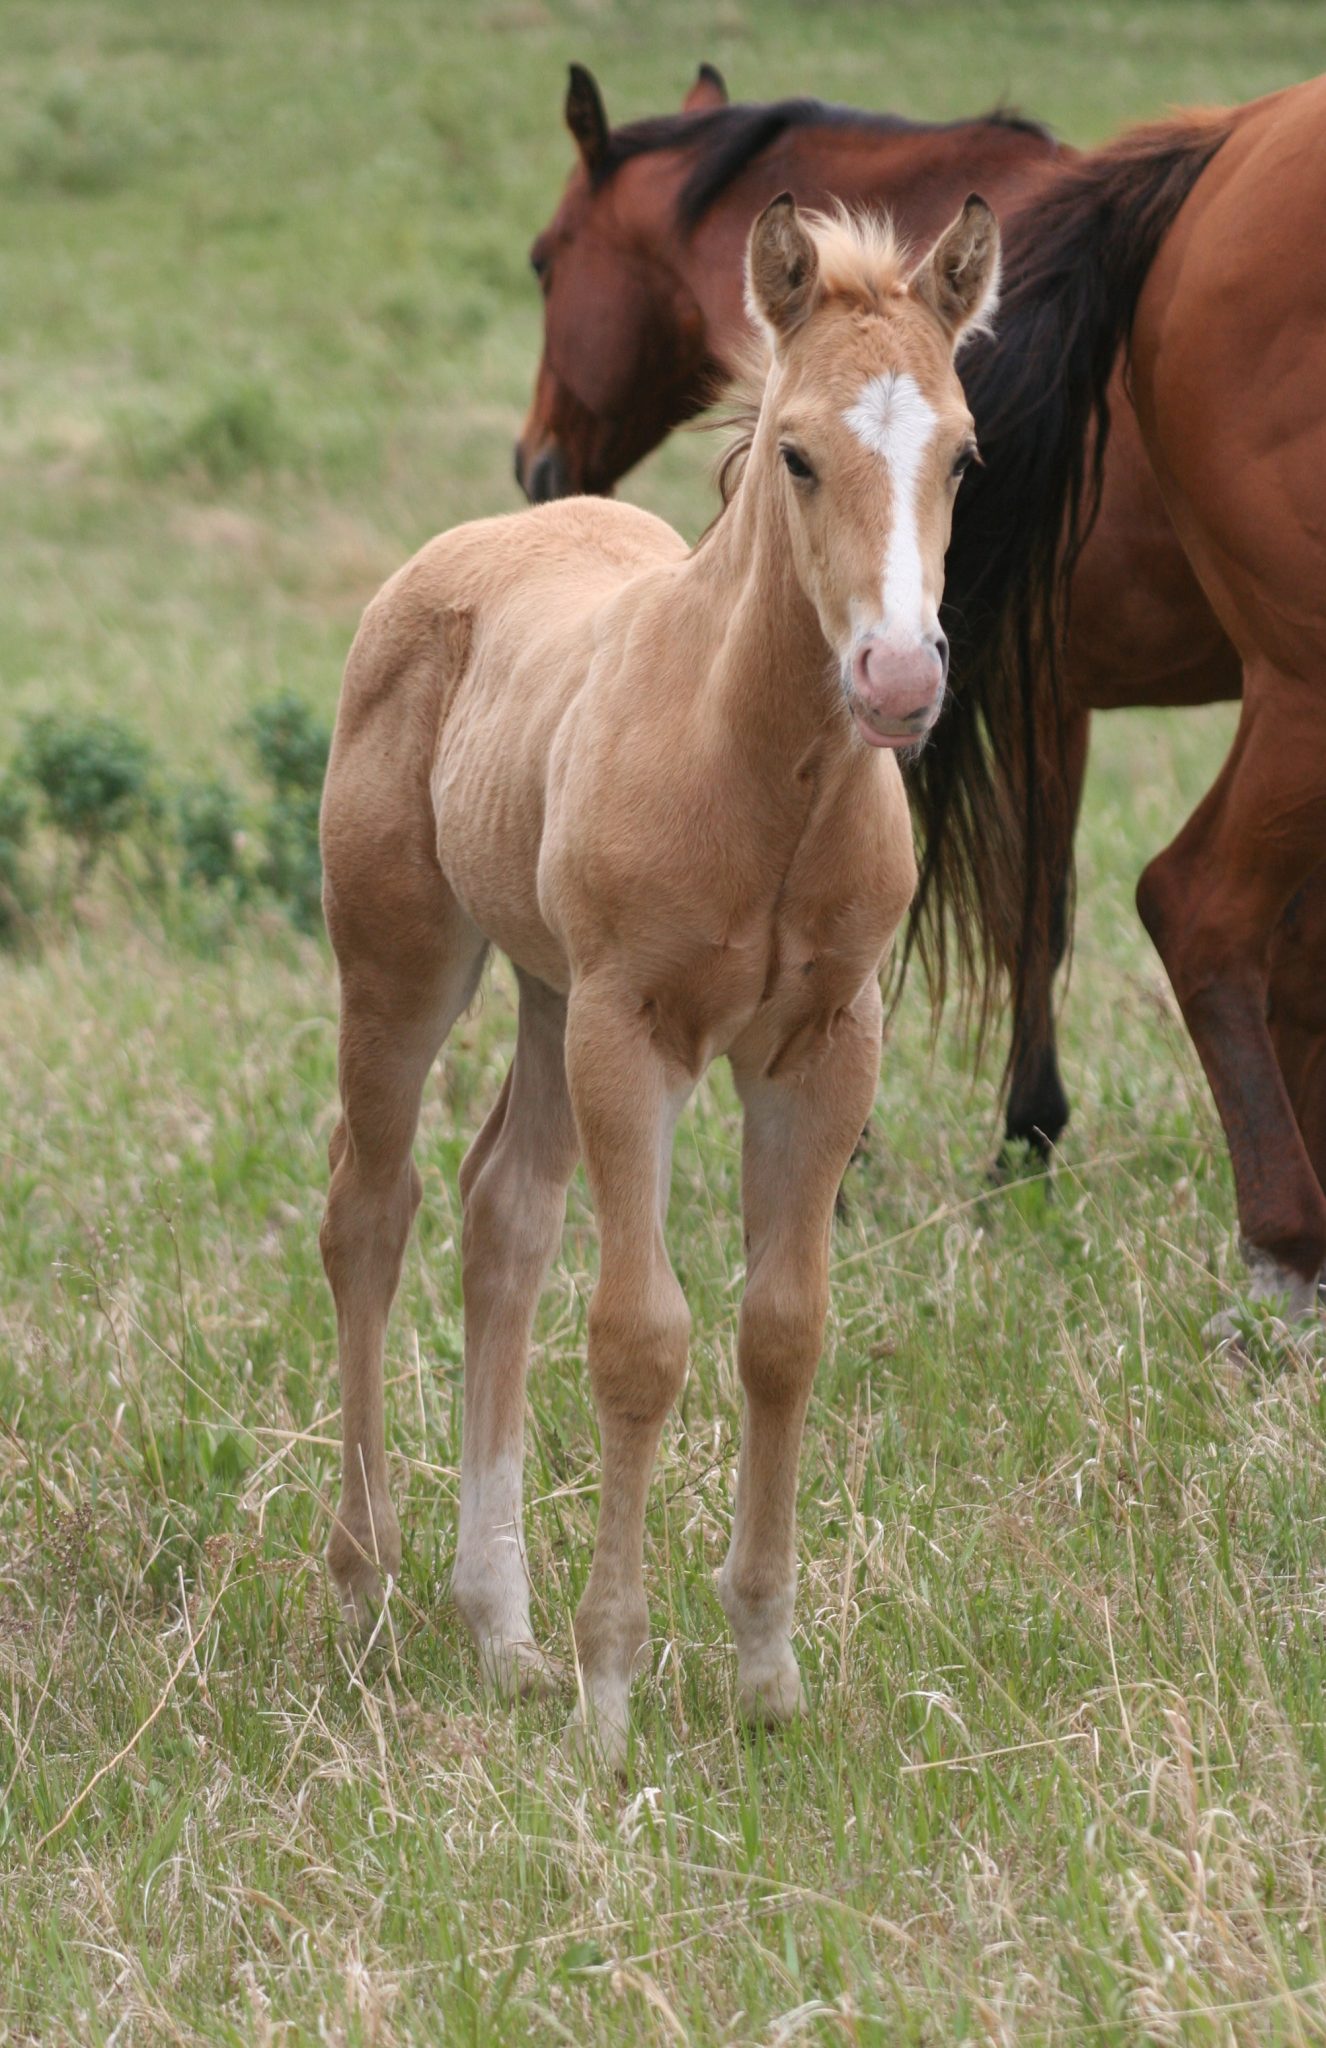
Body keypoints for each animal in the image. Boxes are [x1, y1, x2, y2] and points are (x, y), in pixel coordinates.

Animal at [321, 195, 1000, 1761]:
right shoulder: (633, 1029)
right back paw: (369, 1586)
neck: (759, 771)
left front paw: (763, 1673)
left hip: (544, 992)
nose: (896, 679)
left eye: (961, 455)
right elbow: (639, 1338)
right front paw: (612, 1690)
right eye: (797, 453)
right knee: (370, 1212)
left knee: (499, 1214)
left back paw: (494, 1627)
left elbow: (781, 1333)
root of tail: (463, 549)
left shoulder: (824, 1043)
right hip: (402, 965)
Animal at [516, 68, 1254, 1171]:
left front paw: (985, 1129)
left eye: (542, 262)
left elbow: (1020, 905)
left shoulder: (1017, 688)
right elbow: (1043, 903)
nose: (537, 464)